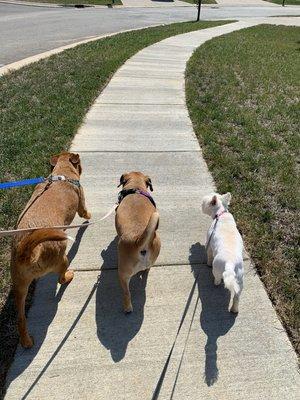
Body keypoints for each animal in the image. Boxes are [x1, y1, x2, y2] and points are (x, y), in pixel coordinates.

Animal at [10, 152, 91, 348]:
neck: (61, 172)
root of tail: (28, 253)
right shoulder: (81, 202)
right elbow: (85, 213)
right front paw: (89, 218)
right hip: (62, 259)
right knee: (61, 278)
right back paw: (68, 276)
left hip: (19, 286)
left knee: (21, 318)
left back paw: (26, 341)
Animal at [115, 171, 162, 312]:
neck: (136, 187)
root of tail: (138, 240)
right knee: (147, 269)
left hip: (123, 275)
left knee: (126, 293)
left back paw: (127, 308)